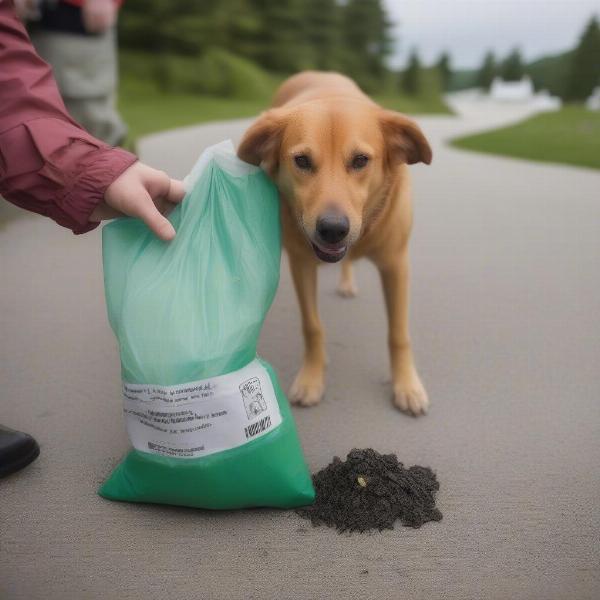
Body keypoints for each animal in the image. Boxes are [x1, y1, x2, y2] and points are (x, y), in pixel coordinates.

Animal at [238, 70, 432, 414]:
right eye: (302, 160)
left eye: (360, 160)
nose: (332, 229)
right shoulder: (301, 264)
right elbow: (312, 326)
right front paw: (311, 378)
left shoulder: (396, 265)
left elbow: (398, 334)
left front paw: (406, 384)